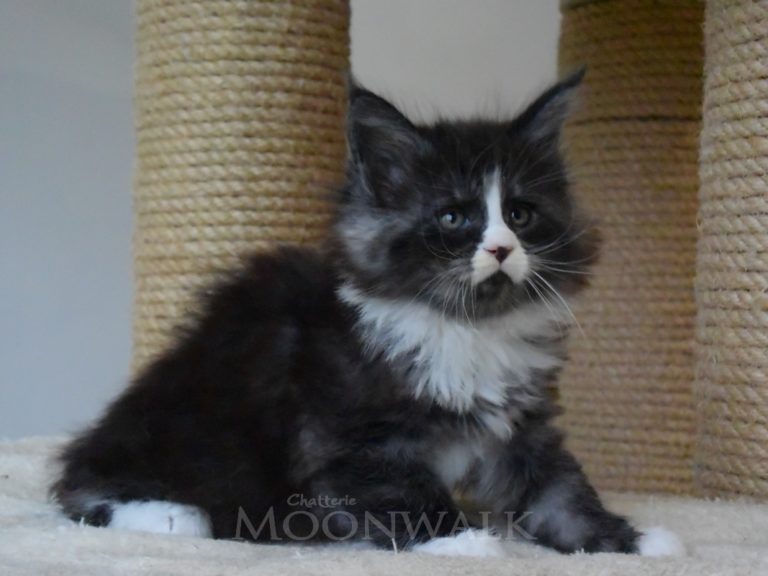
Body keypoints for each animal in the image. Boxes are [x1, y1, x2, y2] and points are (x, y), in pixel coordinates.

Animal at [51, 71, 681, 558]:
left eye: (521, 215)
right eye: (453, 218)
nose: (502, 248)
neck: (465, 330)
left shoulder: (521, 428)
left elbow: (561, 491)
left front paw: (632, 543)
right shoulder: (349, 438)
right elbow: (404, 493)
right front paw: (461, 541)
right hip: (195, 430)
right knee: (80, 492)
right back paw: (170, 515)